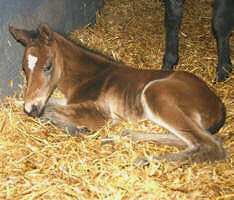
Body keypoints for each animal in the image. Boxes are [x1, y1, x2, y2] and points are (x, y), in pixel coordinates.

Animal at [9, 23, 227, 166]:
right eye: (24, 69)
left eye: (48, 66)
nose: (31, 108)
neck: (89, 76)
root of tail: (217, 102)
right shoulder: (68, 100)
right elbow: (47, 106)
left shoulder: (100, 113)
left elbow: (50, 112)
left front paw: (78, 128)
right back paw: (125, 136)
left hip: (154, 93)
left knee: (211, 145)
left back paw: (146, 161)